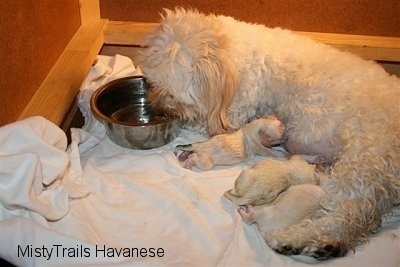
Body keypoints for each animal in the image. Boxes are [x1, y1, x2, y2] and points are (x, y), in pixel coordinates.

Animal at [138, 7, 400, 260]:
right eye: (151, 84)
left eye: (171, 94)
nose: (157, 108)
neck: (229, 50)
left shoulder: (236, 110)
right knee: (362, 219)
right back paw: (329, 245)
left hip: (362, 163)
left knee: (346, 214)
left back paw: (298, 241)